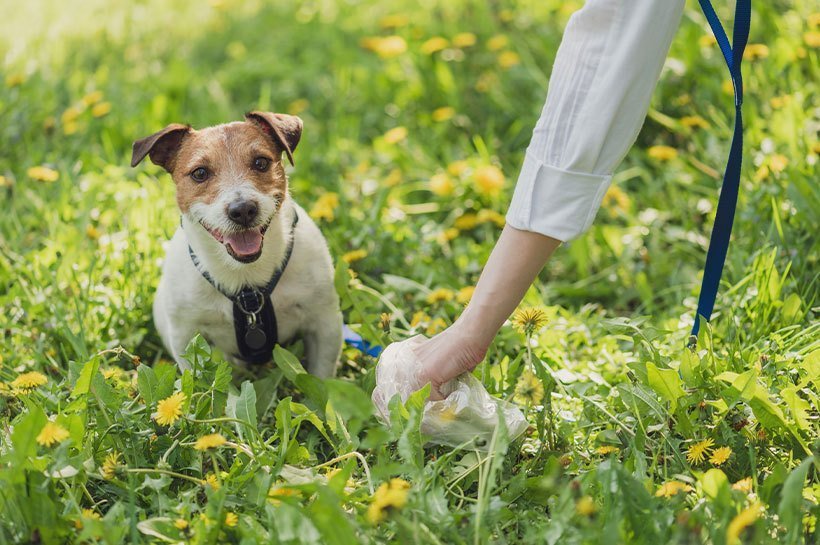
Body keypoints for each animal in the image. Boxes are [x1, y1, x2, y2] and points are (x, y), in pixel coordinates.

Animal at [132, 108, 342, 376]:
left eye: (261, 162)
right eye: (200, 173)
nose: (242, 210)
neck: (246, 281)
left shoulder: (324, 323)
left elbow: (321, 377)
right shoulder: (186, 336)